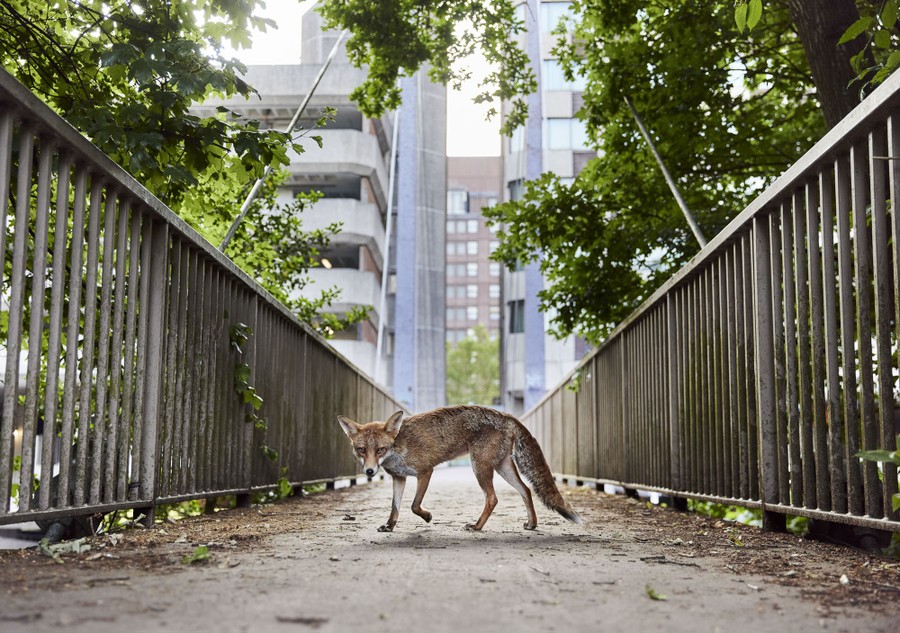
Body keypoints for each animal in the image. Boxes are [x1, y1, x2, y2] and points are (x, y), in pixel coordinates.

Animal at [336, 405, 582, 532]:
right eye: (361, 450)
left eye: (379, 450)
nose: (369, 472)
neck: (397, 448)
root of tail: (506, 415)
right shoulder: (400, 478)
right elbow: (395, 507)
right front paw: (389, 526)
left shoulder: (426, 472)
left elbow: (414, 506)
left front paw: (427, 517)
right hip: (502, 468)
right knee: (527, 490)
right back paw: (531, 524)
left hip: (480, 467)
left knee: (493, 498)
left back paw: (477, 526)